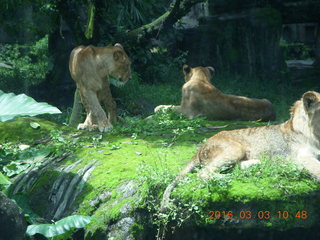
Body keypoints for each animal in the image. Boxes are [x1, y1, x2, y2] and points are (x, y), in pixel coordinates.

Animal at [161, 91, 320, 211]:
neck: (313, 132)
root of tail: (201, 147)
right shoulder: (302, 157)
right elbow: (317, 168)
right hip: (235, 148)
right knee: (203, 173)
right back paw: (229, 177)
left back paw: (257, 165)